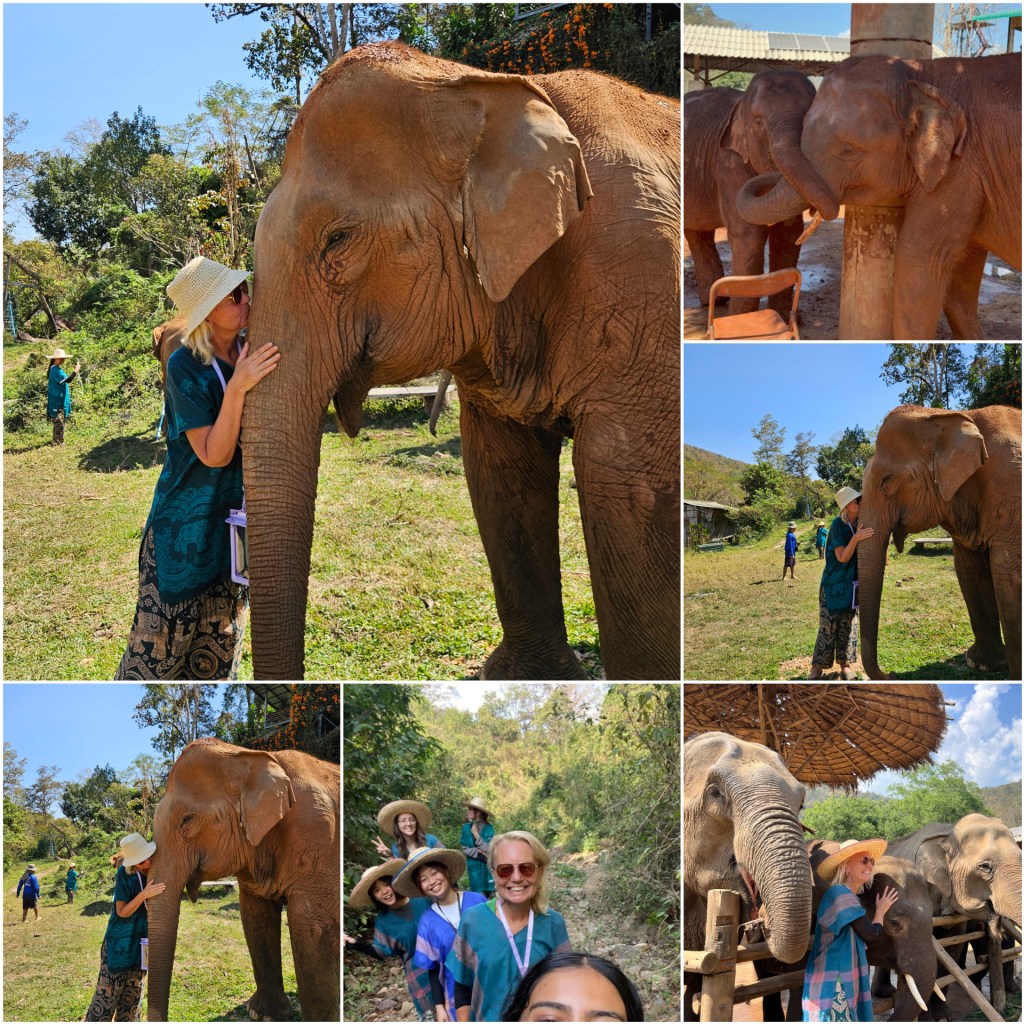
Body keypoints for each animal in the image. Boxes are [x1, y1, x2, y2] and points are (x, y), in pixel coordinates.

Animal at [145, 738, 340, 1022]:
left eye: (187, 820)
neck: (246, 755)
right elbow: (256, 918)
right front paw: (263, 1014)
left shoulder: (318, 835)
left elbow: (312, 929)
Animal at [241, 42, 680, 681]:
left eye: (338, 241)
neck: (477, 85)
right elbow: (499, 470)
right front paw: (532, 678)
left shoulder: (641, 275)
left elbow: (627, 485)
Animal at [684, 71, 823, 318]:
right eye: (759, 123)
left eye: (809, 119)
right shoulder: (728, 162)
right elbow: (749, 234)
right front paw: (740, 319)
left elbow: (787, 233)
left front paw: (780, 316)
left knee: (697, 232)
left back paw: (715, 300)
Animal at [854, 403, 1022, 680]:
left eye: (887, 480)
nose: (892, 674)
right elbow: (969, 571)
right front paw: (982, 664)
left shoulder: (1011, 490)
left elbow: (1009, 577)